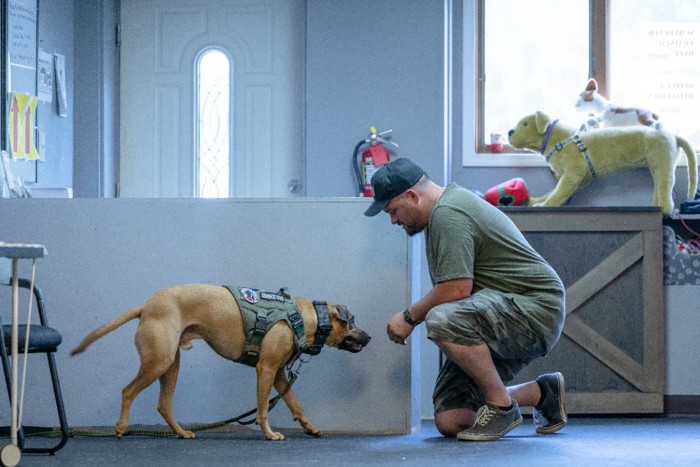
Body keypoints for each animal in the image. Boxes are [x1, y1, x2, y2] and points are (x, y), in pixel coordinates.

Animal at [72, 286, 372, 442]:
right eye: (353, 320)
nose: (369, 337)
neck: (305, 318)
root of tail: (146, 307)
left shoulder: (278, 375)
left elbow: (296, 404)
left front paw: (310, 427)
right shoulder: (266, 370)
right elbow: (263, 409)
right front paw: (269, 433)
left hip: (171, 365)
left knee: (163, 404)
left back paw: (181, 432)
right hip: (159, 361)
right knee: (128, 391)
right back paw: (121, 427)